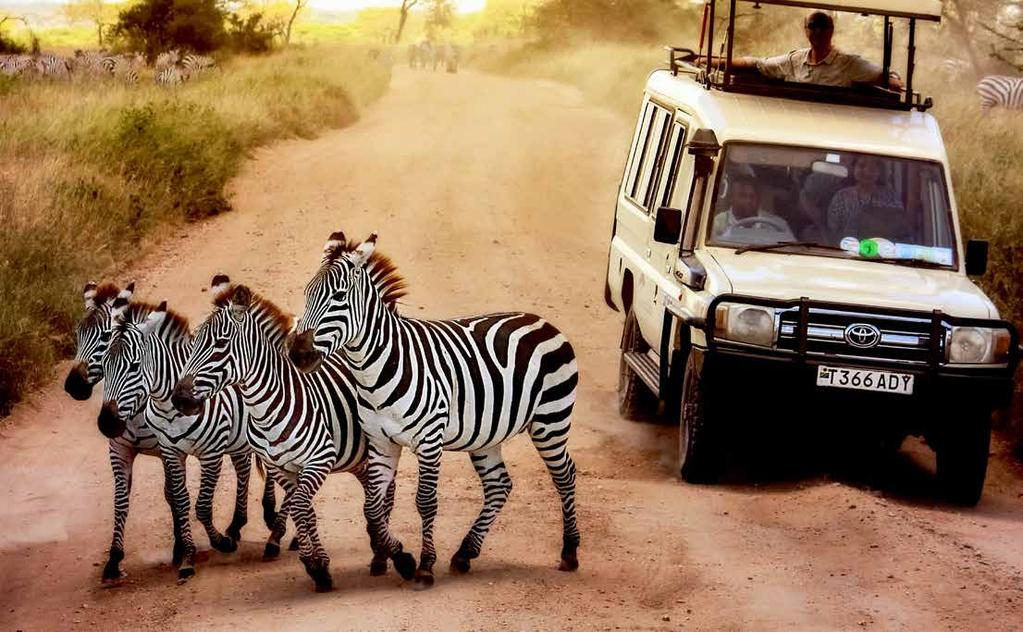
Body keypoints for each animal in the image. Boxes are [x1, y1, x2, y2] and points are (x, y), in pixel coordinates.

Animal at [100, 290, 284, 580]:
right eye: (104, 366)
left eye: (134, 366)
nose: (106, 423)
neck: (167, 404)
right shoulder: (166, 452)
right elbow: (176, 500)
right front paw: (185, 555)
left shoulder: (211, 452)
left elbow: (202, 506)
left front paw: (220, 543)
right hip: (240, 441)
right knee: (245, 469)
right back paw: (239, 524)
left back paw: (274, 529)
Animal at [169, 276, 413, 589]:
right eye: (193, 343)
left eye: (220, 344)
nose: (180, 399)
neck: (268, 409)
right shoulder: (281, 468)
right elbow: (304, 510)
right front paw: (318, 565)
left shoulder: (319, 460)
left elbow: (299, 506)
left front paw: (314, 563)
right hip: (357, 457)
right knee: (374, 491)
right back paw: (379, 549)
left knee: (386, 492)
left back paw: (385, 555)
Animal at [288, 231, 585, 584]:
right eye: (306, 293)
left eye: (339, 296)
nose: (298, 354)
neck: (378, 369)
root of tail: (542, 320)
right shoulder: (381, 442)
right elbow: (372, 507)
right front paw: (401, 557)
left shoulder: (429, 440)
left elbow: (425, 501)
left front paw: (425, 565)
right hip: (489, 435)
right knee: (499, 485)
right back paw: (465, 552)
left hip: (550, 421)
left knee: (564, 475)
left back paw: (569, 551)